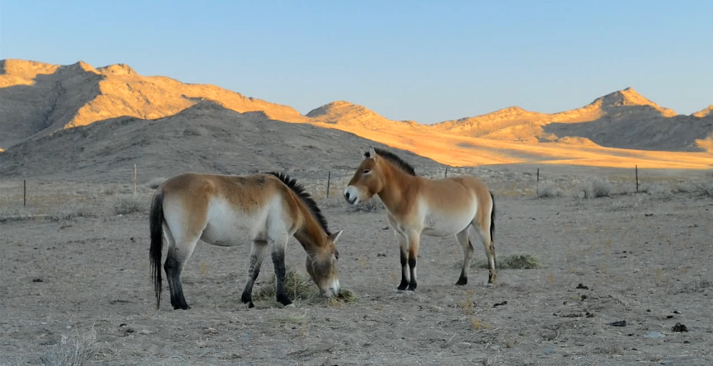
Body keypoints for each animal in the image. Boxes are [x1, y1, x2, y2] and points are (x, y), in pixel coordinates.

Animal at [148, 172, 342, 308]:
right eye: (335, 257)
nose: (336, 291)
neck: (288, 199)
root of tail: (163, 188)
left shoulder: (261, 242)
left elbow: (253, 270)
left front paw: (247, 300)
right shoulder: (279, 238)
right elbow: (280, 269)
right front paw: (285, 300)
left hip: (173, 239)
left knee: (168, 267)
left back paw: (175, 303)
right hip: (187, 240)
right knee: (174, 267)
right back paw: (181, 304)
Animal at [344, 147, 496, 290]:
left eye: (366, 170)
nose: (347, 194)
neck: (405, 194)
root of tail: (485, 188)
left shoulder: (413, 234)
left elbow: (412, 260)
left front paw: (412, 286)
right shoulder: (399, 234)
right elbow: (403, 260)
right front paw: (402, 285)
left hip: (482, 226)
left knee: (489, 249)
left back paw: (491, 280)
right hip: (462, 230)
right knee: (468, 250)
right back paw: (462, 280)